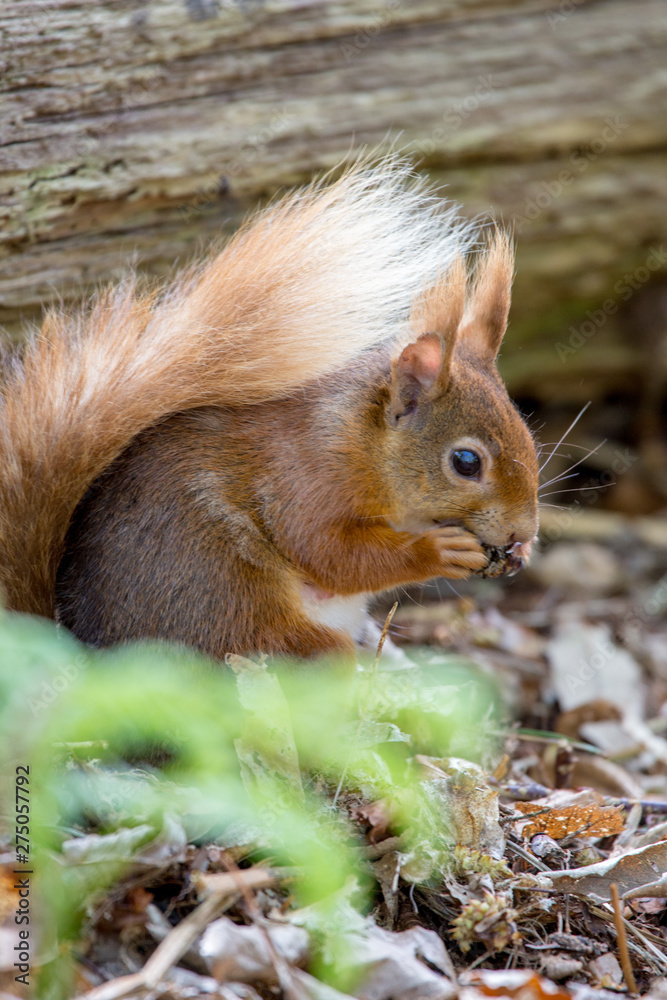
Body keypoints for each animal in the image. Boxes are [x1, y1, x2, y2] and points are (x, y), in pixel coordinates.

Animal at [0, 158, 538, 661]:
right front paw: (436, 551)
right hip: (249, 621)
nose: (523, 531)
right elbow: (331, 553)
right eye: (466, 463)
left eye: (529, 438)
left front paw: (522, 551)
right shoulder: (306, 480)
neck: (364, 442)